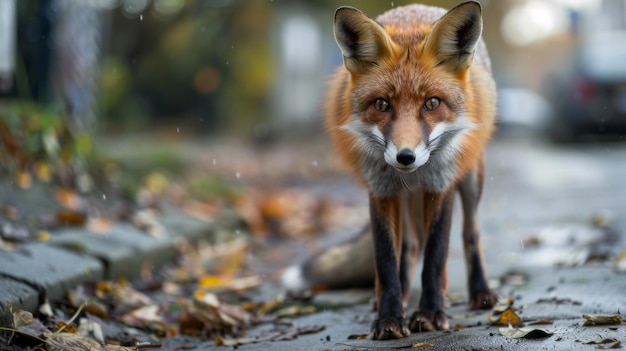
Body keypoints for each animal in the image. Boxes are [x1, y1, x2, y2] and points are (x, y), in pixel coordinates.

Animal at [280, 0, 494, 340]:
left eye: (432, 103)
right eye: (382, 104)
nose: (405, 157)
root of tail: (418, 7)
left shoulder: (440, 184)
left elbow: (436, 256)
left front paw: (430, 314)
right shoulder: (380, 189)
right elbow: (385, 259)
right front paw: (390, 318)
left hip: (472, 178)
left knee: (469, 231)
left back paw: (481, 292)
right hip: (404, 198)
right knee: (410, 246)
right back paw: (399, 297)